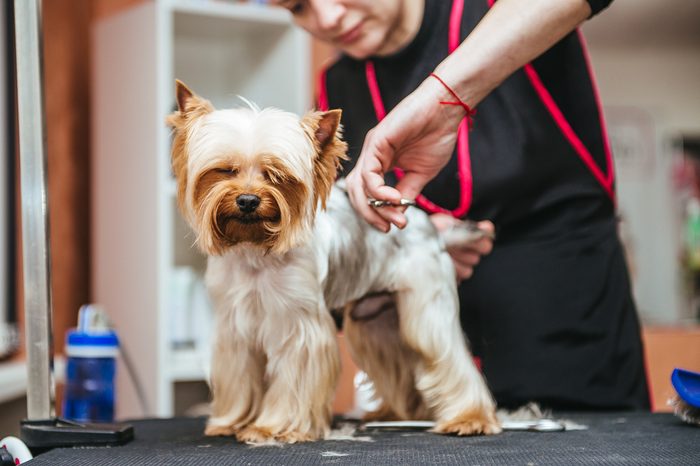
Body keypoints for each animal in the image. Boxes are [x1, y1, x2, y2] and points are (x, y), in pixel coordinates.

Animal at [167, 81, 500, 444]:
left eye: (276, 175)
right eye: (225, 169)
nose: (248, 200)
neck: (254, 249)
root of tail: (428, 225)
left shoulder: (299, 326)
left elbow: (292, 379)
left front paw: (272, 428)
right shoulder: (234, 326)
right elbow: (239, 378)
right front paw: (231, 421)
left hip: (426, 310)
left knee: (448, 357)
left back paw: (469, 419)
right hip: (377, 321)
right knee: (398, 364)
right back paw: (398, 414)